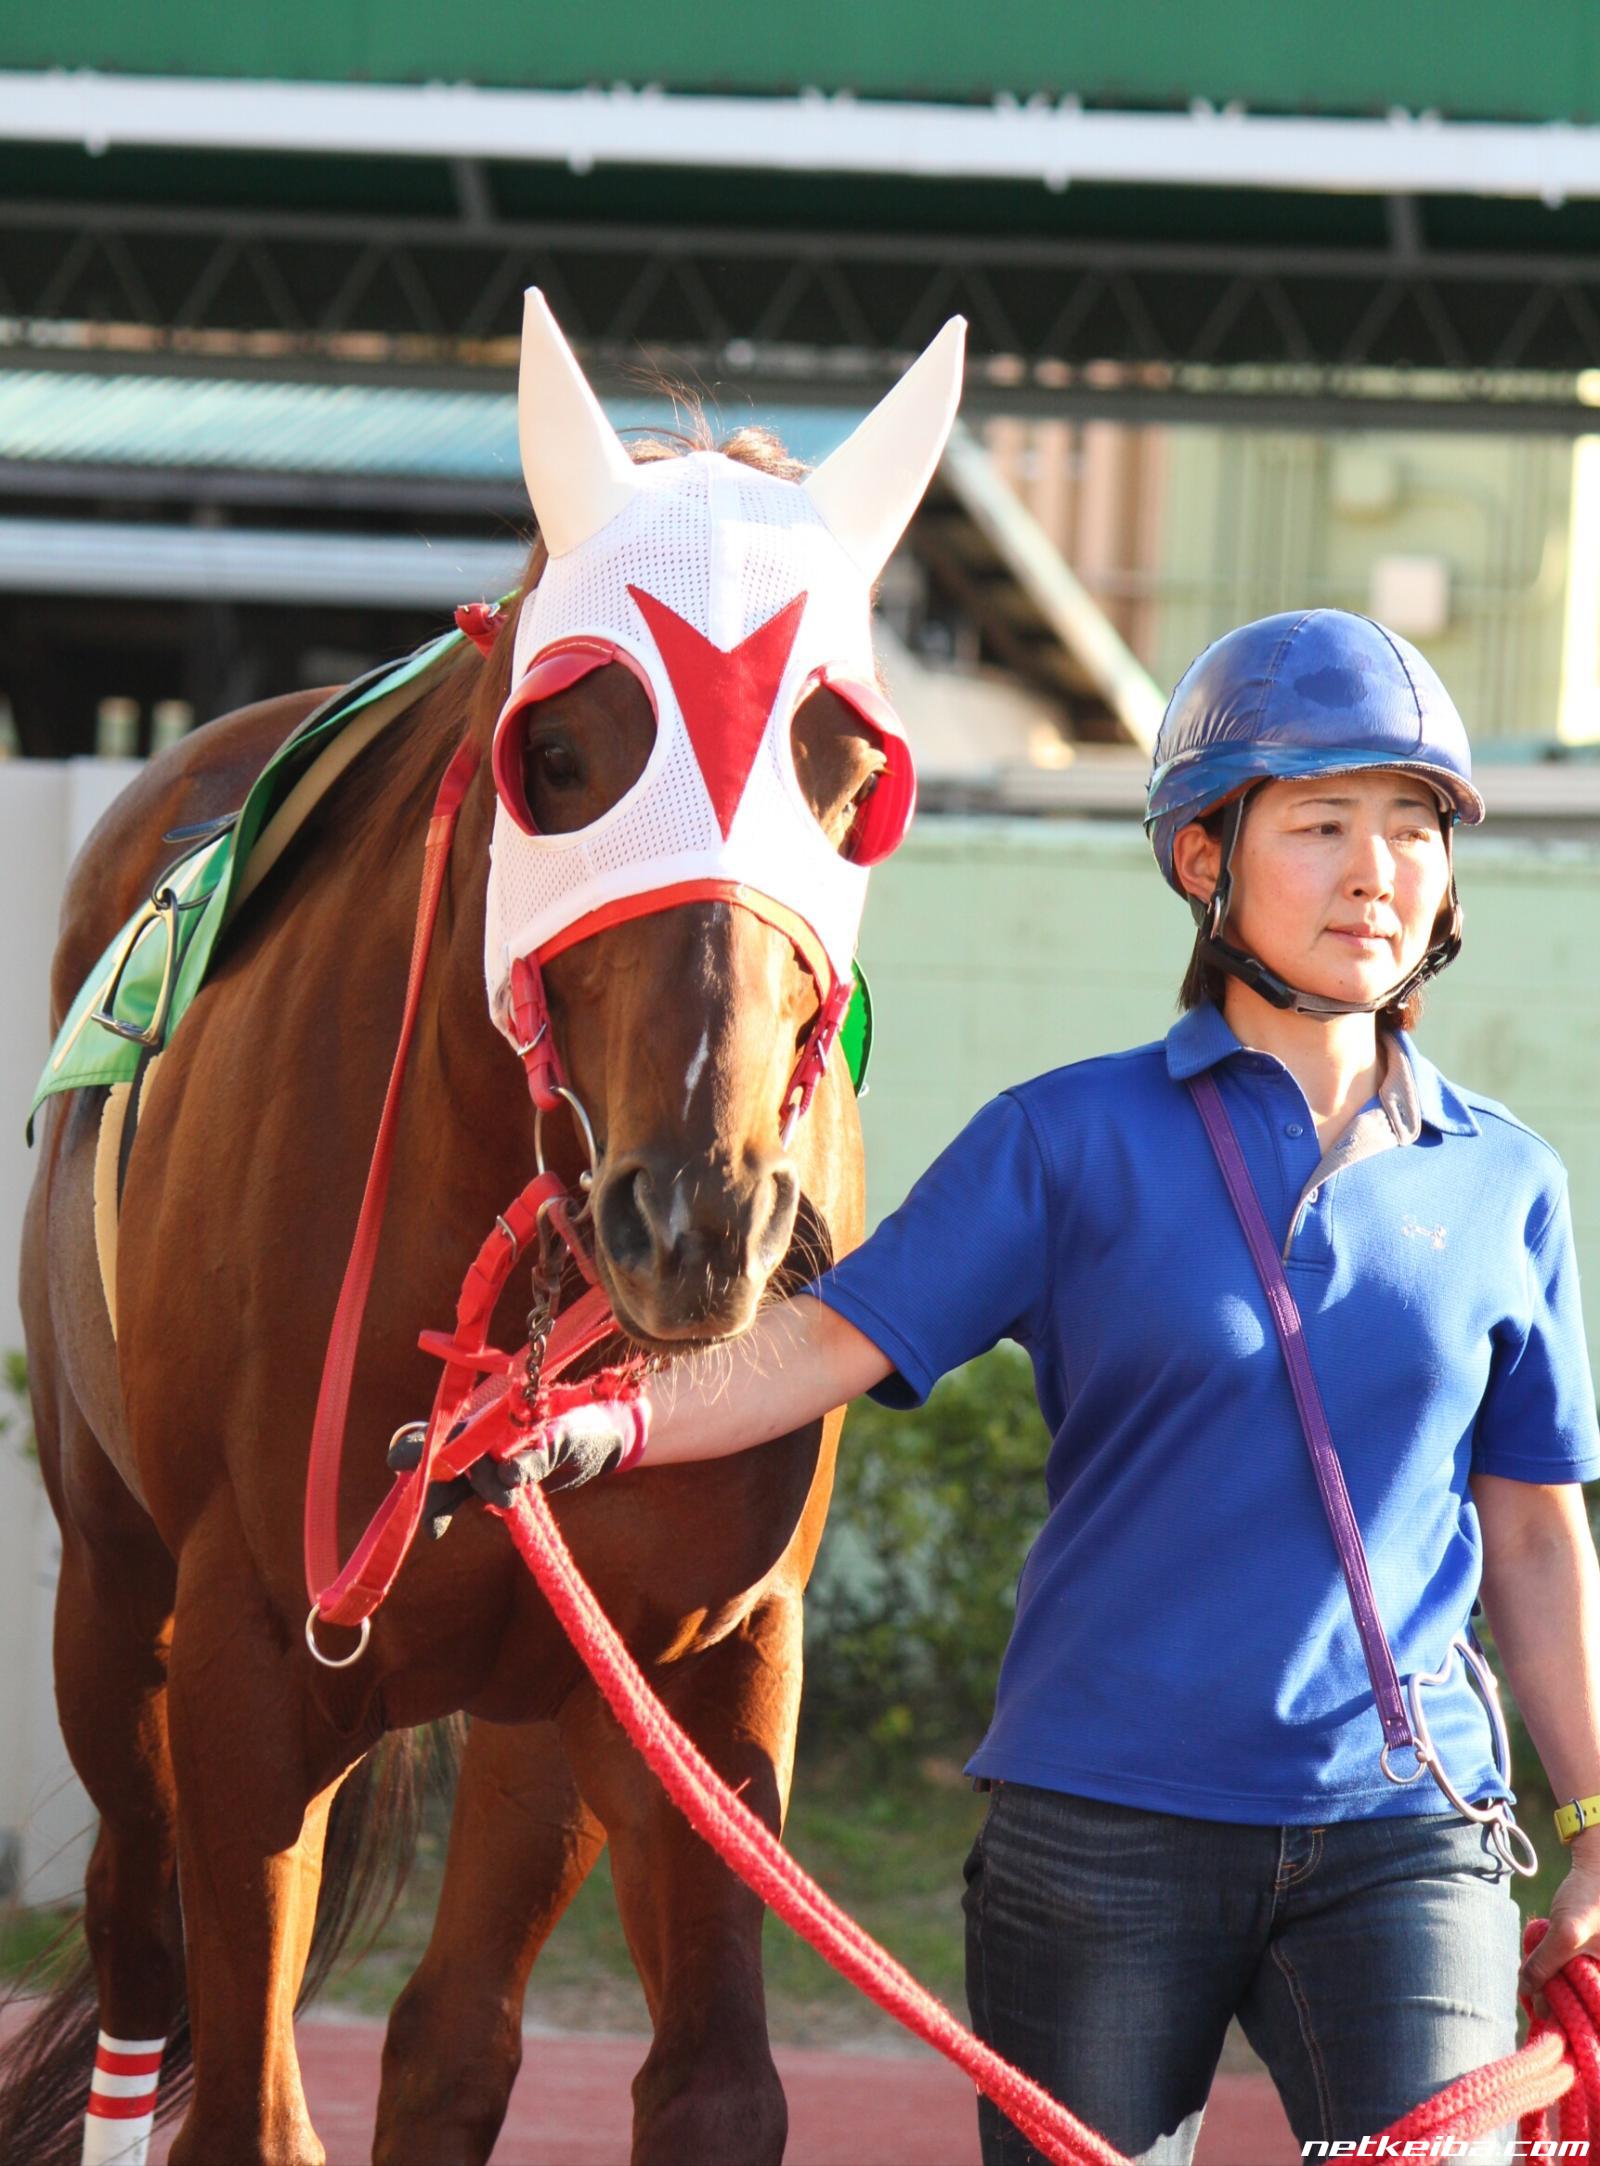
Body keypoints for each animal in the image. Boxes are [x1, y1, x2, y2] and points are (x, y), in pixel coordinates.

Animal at [3, 296, 964, 2166]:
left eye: (850, 774)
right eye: (561, 758)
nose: (697, 1209)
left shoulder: (700, 1670)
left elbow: (715, 2087)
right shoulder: (245, 1674)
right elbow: (247, 2106)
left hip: (540, 1702)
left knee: (450, 2033)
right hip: (112, 1603)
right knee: (140, 1949)